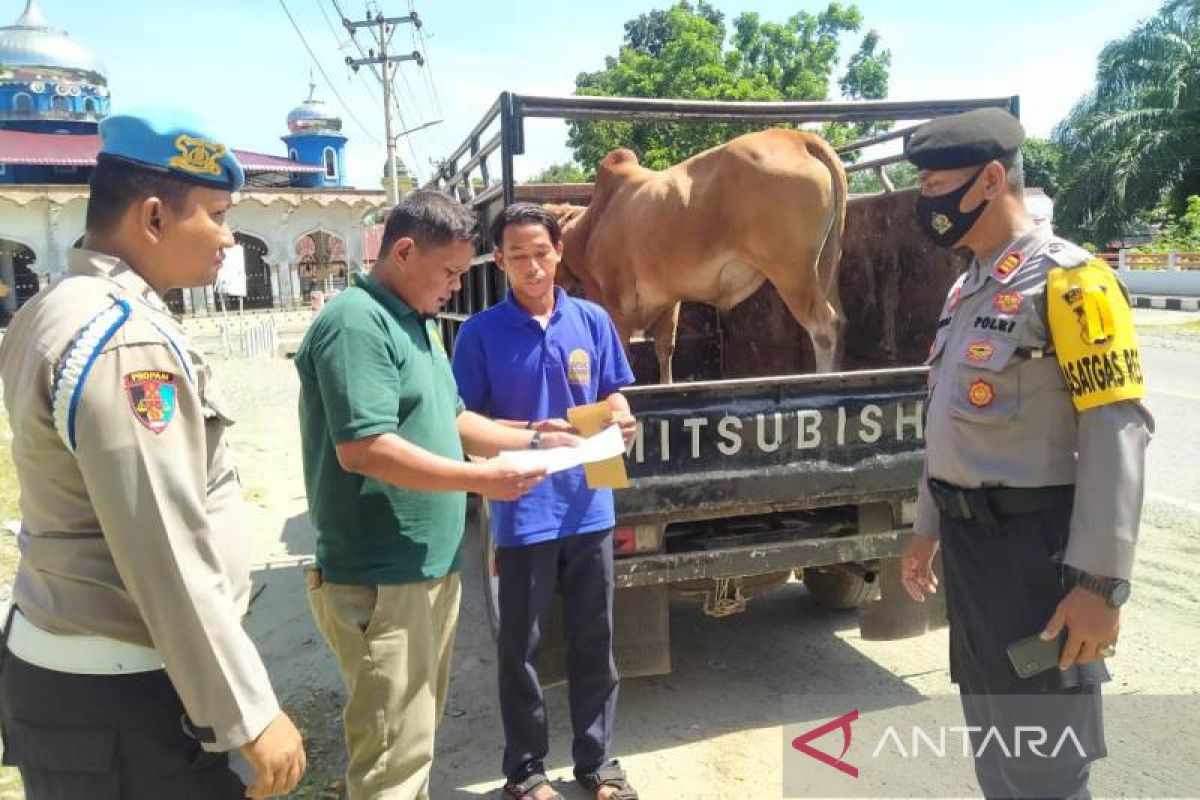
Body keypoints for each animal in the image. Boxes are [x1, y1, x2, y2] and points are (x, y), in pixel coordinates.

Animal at [549, 128, 849, 383]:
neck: (591, 226)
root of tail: (797, 138)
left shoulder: (614, 300)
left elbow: (621, 352)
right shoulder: (668, 301)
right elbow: (664, 349)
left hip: (791, 272)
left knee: (824, 326)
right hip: (823, 268)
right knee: (839, 320)